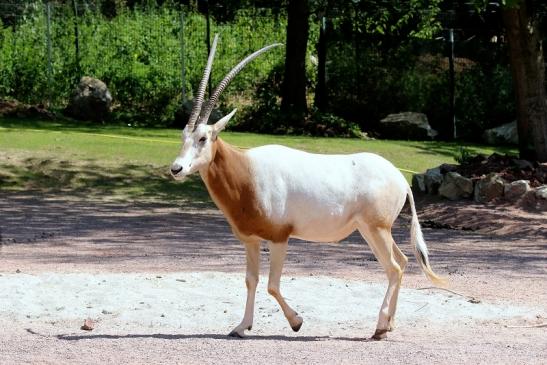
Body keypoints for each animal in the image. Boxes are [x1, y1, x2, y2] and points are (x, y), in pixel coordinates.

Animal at [171, 34, 446, 338]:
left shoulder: (279, 237)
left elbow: (272, 285)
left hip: (377, 230)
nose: (176, 169)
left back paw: (379, 328)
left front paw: (296, 322)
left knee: (394, 267)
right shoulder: (251, 240)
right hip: (370, 230)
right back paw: (389, 325)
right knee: (403, 262)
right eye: (183, 136)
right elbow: (251, 280)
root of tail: (400, 179)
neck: (247, 171)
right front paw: (242, 327)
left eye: (203, 138)